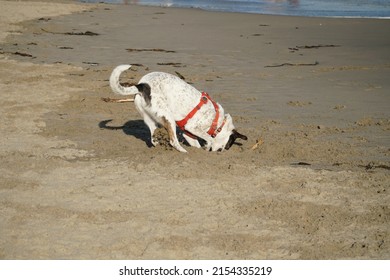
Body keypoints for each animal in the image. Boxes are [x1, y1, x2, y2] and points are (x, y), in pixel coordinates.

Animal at [108, 64, 247, 152]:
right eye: (227, 146)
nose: (221, 151)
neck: (217, 122)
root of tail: (142, 85)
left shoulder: (189, 134)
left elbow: (197, 144)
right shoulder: (193, 128)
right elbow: (209, 138)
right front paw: (208, 145)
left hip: (150, 120)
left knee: (153, 138)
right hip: (168, 117)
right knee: (173, 141)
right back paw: (183, 151)